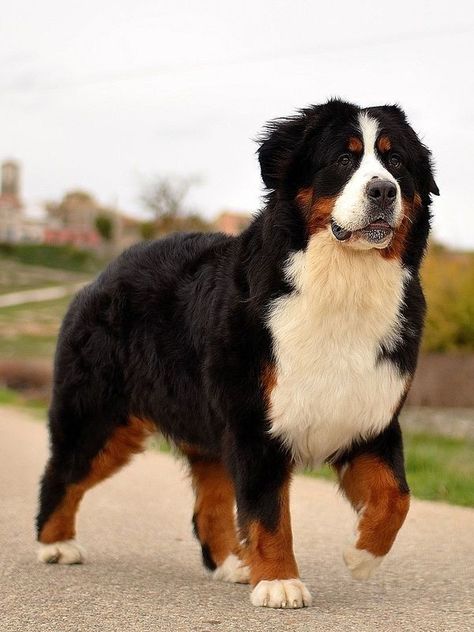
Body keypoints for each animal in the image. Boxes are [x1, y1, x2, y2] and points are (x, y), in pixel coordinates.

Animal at [35, 99, 438, 608]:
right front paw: (280, 582)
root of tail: (103, 274)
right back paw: (55, 545)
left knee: (206, 507)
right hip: (100, 417)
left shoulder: (369, 415)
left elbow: (396, 496)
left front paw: (361, 556)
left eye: (396, 161)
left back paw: (232, 563)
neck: (345, 284)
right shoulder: (254, 422)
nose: (384, 190)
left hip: (205, 432)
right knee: (63, 473)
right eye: (343, 159)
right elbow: (269, 513)